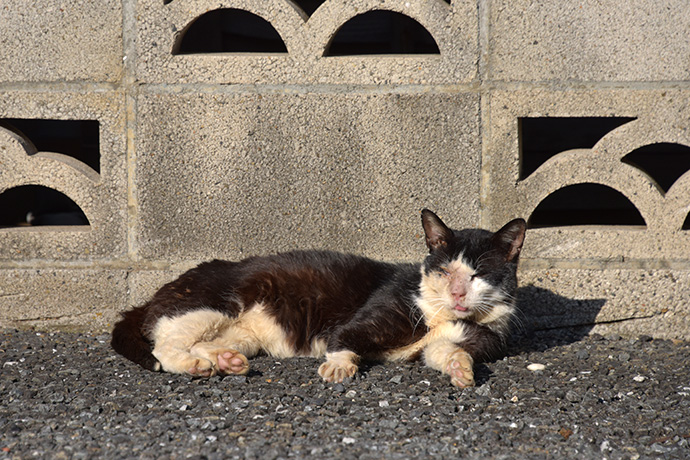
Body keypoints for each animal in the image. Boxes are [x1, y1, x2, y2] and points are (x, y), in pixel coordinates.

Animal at [110, 210, 524, 386]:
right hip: (212, 304)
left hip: (243, 334)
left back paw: (227, 362)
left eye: (477, 275)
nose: (457, 292)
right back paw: (196, 366)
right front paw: (339, 367)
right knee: (164, 343)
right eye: (445, 271)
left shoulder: (460, 341)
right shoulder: (370, 317)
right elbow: (345, 339)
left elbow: (445, 352)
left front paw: (461, 369)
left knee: (203, 343)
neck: (439, 315)